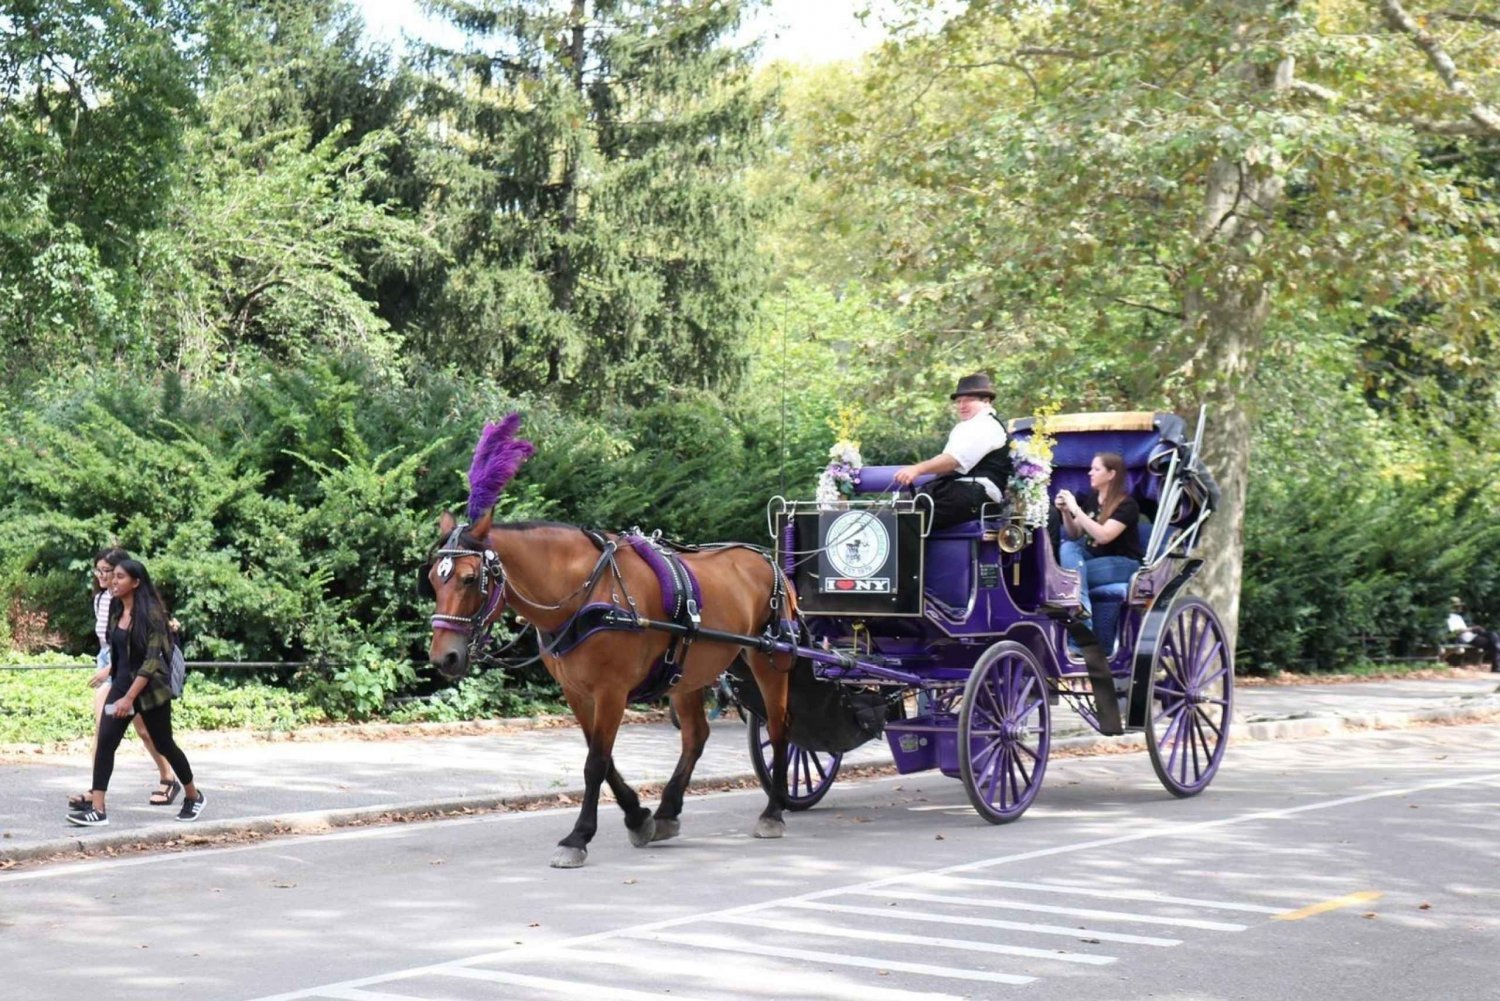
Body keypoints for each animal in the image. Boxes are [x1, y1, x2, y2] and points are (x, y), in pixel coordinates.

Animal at [423, 414, 798, 870]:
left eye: (469, 578)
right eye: (432, 579)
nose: (443, 657)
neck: (585, 593)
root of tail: (768, 560)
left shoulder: (611, 690)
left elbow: (595, 762)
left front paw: (578, 837)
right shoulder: (578, 691)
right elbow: (602, 759)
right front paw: (638, 816)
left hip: (769, 661)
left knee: (779, 729)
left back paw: (774, 810)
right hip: (687, 671)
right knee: (696, 735)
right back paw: (668, 811)